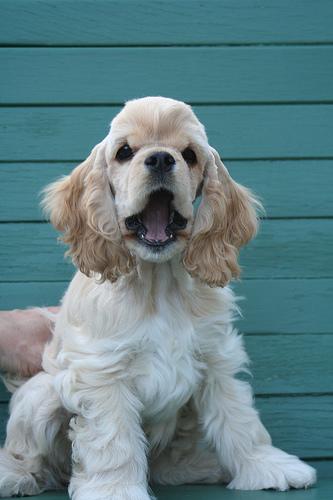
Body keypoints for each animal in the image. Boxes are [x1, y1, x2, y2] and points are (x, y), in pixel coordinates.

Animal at [0, 95, 314, 498]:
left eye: (190, 154)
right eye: (124, 152)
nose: (162, 159)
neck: (157, 280)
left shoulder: (216, 358)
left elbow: (239, 418)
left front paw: (267, 466)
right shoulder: (102, 373)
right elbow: (113, 441)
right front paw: (116, 490)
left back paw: (199, 466)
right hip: (41, 393)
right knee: (29, 455)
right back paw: (16, 476)